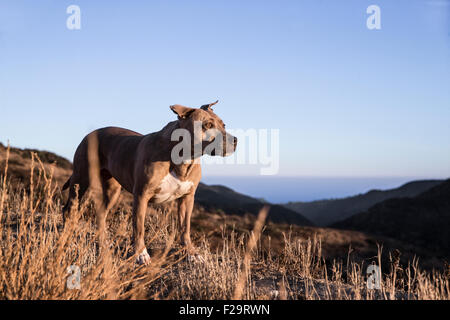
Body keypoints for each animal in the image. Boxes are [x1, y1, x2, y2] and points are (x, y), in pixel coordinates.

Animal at [63, 101, 239, 264]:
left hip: (112, 191)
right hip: (80, 180)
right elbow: (139, 227)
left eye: (223, 125)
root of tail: (91, 133)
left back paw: (103, 242)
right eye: (208, 125)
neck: (183, 156)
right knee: (69, 209)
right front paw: (141, 254)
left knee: (101, 213)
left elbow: (185, 228)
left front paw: (191, 254)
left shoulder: (187, 198)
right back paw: (67, 240)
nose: (235, 140)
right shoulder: (142, 196)